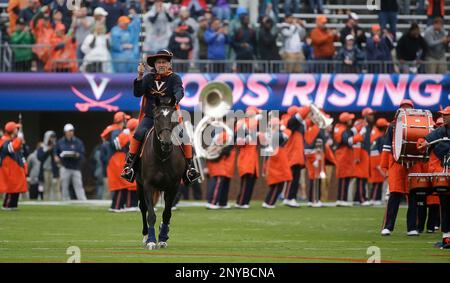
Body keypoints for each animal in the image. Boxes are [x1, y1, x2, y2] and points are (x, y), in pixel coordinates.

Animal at [137, 96, 186, 251]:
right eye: (157, 118)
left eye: (173, 118)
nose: (166, 143)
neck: (162, 156)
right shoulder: (148, 185)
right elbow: (151, 214)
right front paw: (151, 240)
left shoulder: (173, 186)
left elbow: (167, 213)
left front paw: (163, 238)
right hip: (139, 185)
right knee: (143, 208)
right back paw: (146, 235)